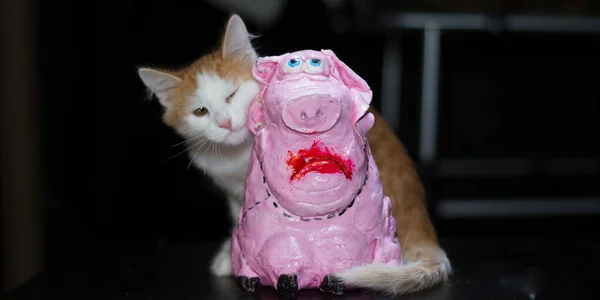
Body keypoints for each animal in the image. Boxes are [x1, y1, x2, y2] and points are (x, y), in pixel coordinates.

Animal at [138, 14, 452, 296]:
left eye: (232, 95)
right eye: (200, 111)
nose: (225, 123)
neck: (237, 155)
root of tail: (419, 218)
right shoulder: (234, 193)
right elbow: (243, 225)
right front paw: (234, 257)